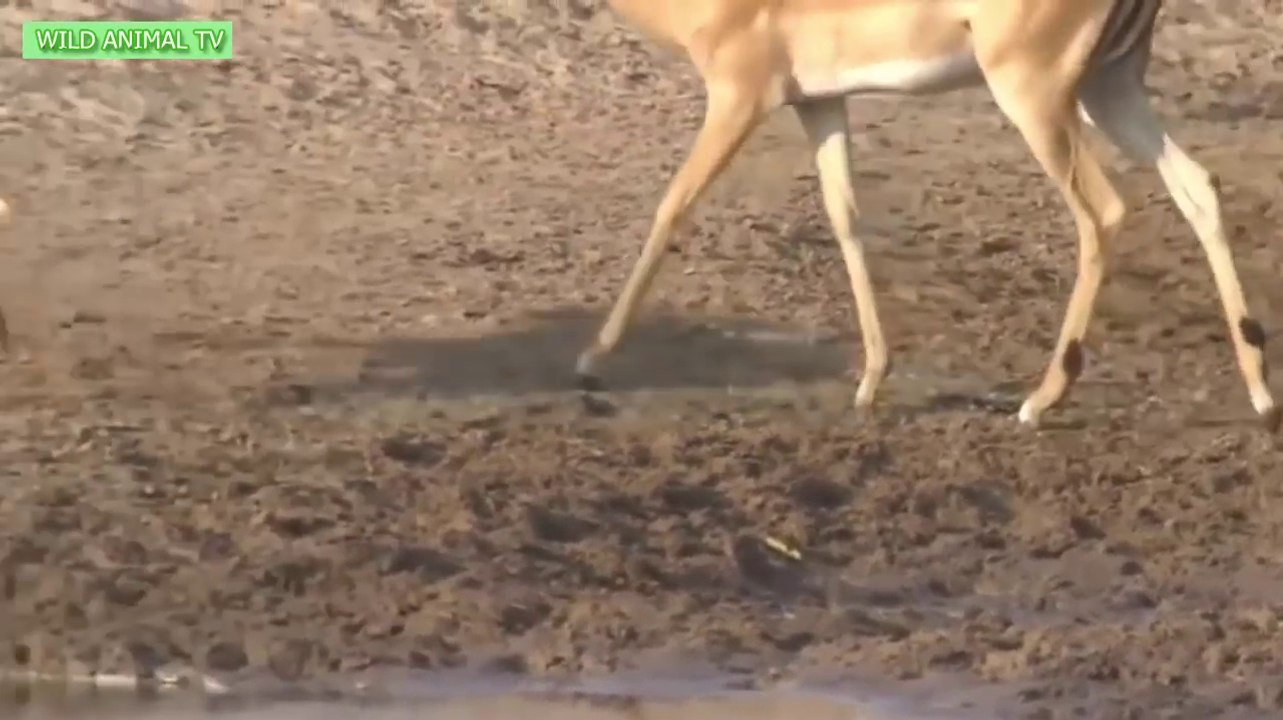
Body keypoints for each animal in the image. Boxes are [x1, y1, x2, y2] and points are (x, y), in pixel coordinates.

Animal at [572, 0, 1278, 431]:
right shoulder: (818, 102)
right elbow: (845, 217)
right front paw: (870, 381)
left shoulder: (740, 95)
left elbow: (674, 205)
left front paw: (592, 362)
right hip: (1110, 86)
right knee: (1198, 186)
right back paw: (1261, 394)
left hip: (1035, 95)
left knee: (1103, 211)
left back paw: (1041, 399)